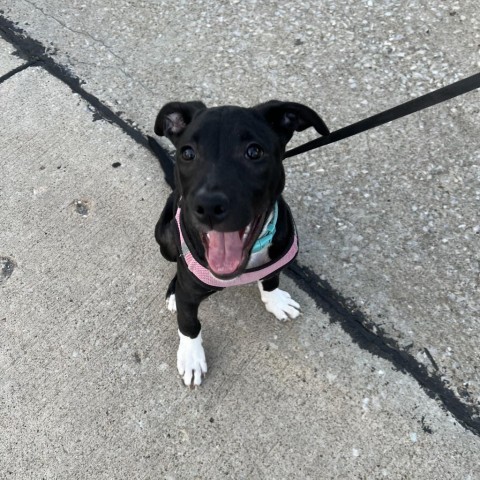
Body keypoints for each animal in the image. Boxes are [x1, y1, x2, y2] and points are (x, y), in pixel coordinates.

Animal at [151, 100, 330, 386]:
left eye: (254, 152)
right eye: (187, 153)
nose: (208, 206)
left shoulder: (276, 262)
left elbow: (271, 278)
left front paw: (275, 300)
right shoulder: (189, 290)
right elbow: (189, 323)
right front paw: (191, 357)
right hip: (165, 237)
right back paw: (173, 293)